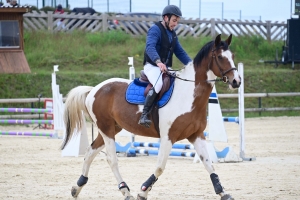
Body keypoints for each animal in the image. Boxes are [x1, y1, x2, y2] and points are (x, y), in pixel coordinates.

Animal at [61, 33, 241, 199]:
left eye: (233, 56)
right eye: (220, 57)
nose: (236, 81)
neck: (188, 95)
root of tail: (94, 89)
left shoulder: (196, 135)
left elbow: (208, 164)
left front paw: (223, 192)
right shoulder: (168, 137)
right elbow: (160, 167)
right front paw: (143, 191)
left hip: (110, 129)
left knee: (90, 152)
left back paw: (77, 187)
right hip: (106, 129)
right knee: (111, 159)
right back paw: (125, 191)